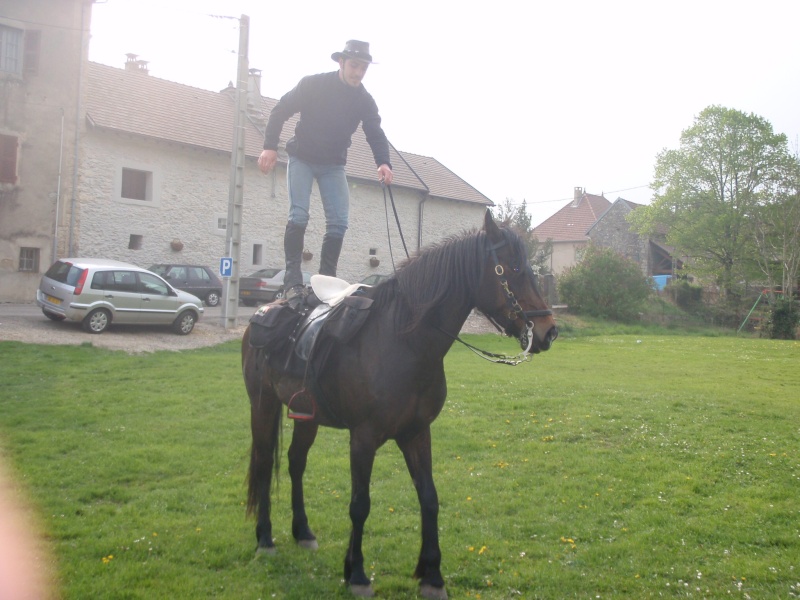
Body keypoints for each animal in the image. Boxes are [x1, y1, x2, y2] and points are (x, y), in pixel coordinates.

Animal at [242, 210, 556, 596]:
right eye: (512, 269)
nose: (549, 331)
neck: (403, 342)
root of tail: (261, 314)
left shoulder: (416, 433)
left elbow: (429, 498)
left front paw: (432, 575)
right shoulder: (363, 439)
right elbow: (360, 505)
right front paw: (357, 574)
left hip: (306, 416)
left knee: (295, 463)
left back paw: (303, 532)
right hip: (263, 407)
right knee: (263, 463)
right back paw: (265, 538)